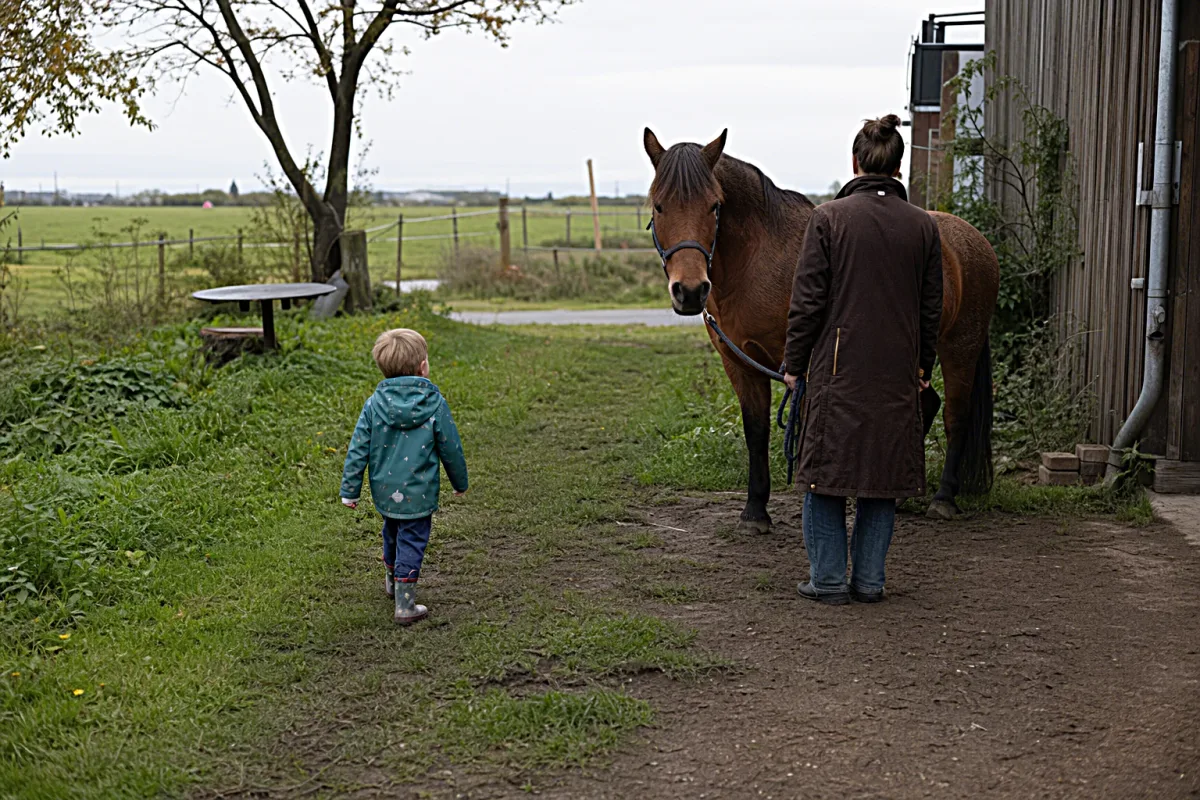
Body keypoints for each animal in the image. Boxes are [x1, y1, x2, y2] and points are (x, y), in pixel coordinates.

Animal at [643, 128, 999, 527]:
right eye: (658, 206)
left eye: (714, 206)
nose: (689, 291)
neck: (758, 260)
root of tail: (974, 240)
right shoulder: (741, 363)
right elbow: (756, 431)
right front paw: (755, 511)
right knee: (927, 403)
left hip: (960, 348)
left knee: (956, 415)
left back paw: (943, 498)